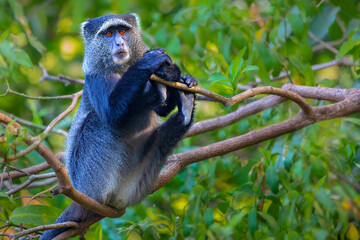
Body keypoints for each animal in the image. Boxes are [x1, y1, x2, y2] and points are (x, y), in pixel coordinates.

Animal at [40, 13, 198, 240]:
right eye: (108, 34)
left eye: (122, 31)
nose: (119, 43)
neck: (122, 69)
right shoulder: (95, 78)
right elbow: (112, 115)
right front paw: (149, 63)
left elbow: (162, 110)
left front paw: (172, 73)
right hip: (90, 181)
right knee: (96, 121)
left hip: (136, 182)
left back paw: (185, 106)